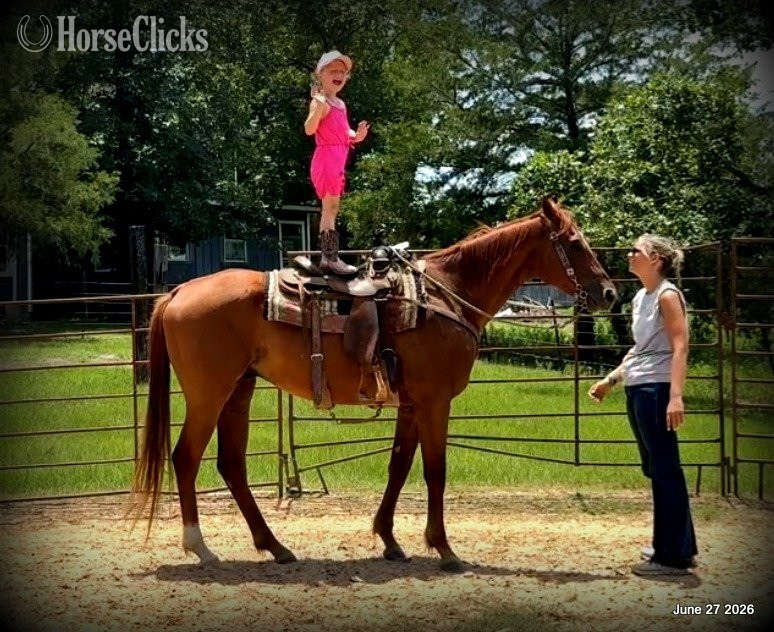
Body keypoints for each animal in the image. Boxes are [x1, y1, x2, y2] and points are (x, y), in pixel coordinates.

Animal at [131, 196, 617, 571]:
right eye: (574, 243)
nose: (609, 293)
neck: (446, 295)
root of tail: (178, 292)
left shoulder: (412, 404)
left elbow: (399, 465)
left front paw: (390, 539)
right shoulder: (435, 401)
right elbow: (435, 471)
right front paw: (444, 548)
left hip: (239, 391)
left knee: (232, 465)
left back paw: (276, 546)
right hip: (209, 395)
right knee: (186, 458)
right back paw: (200, 546)